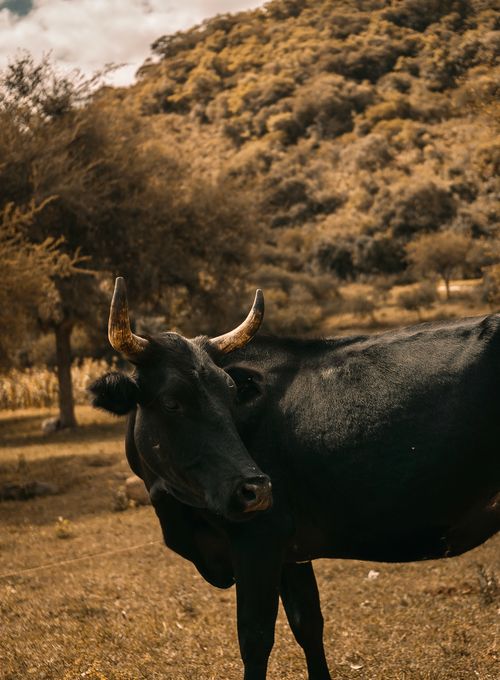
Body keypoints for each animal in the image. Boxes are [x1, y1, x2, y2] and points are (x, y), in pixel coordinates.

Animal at [90, 277, 500, 680]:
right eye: (172, 401)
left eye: (230, 397)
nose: (255, 490)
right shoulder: (291, 554)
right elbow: (308, 625)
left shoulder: (260, 540)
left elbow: (255, 639)